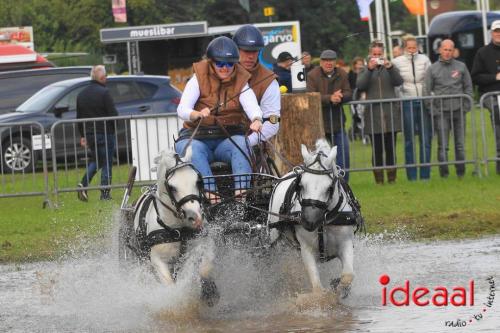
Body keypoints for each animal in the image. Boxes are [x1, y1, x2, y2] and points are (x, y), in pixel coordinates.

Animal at [131, 148, 219, 306]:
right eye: (172, 187)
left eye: (198, 181)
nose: (195, 217)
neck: (179, 229)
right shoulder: (157, 260)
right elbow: (169, 284)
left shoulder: (206, 243)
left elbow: (205, 268)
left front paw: (209, 292)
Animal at [268, 139, 362, 300]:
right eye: (301, 185)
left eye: (329, 188)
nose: (309, 221)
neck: (323, 222)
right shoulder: (306, 249)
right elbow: (317, 288)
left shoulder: (346, 243)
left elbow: (347, 275)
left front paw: (338, 287)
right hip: (276, 240)